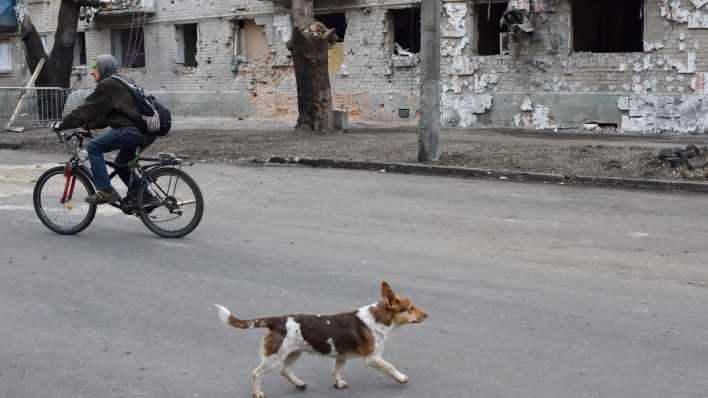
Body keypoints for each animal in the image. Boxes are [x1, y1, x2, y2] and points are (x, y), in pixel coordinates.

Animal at [213, 280, 428, 398]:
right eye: (410, 308)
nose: (427, 315)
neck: (378, 318)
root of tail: (276, 320)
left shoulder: (341, 356)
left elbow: (337, 371)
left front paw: (338, 384)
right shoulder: (373, 358)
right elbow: (390, 367)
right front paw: (401, 378)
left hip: (294, 353)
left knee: (285, 370)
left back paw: (299, 384)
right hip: (274, 357)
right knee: (257, 373)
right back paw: (258, 393)